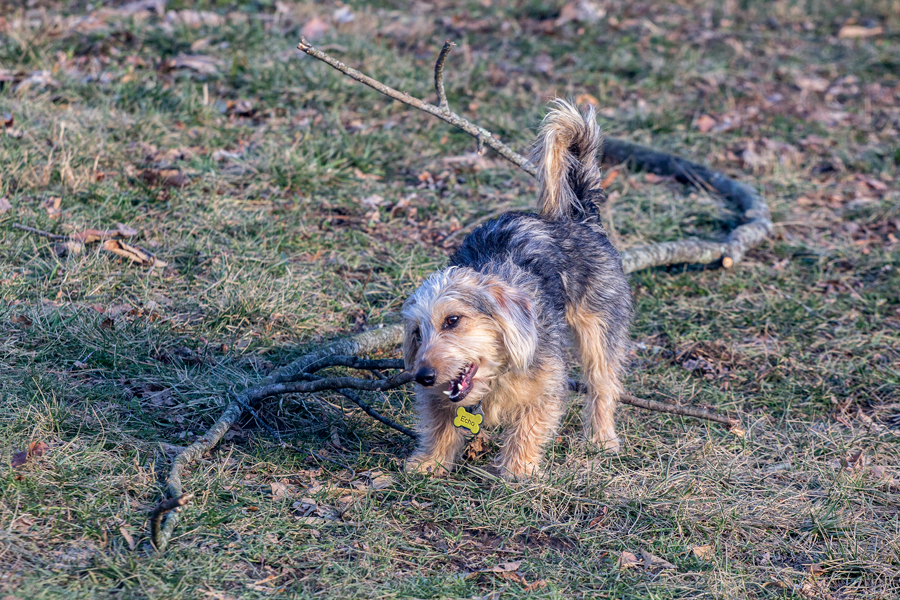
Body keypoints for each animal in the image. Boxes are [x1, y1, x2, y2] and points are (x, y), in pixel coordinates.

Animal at [400, 101, 632, 480]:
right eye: (417, 333)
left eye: (453, 320)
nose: (422, 377)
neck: (497, 372)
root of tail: (580, 217)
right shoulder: (440, 398)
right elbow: (440, 424)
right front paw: (430, 462)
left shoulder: (546, 384)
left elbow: (529, 425)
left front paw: (518, 469)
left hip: (600, 328)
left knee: (603, 384)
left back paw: (601, 438)